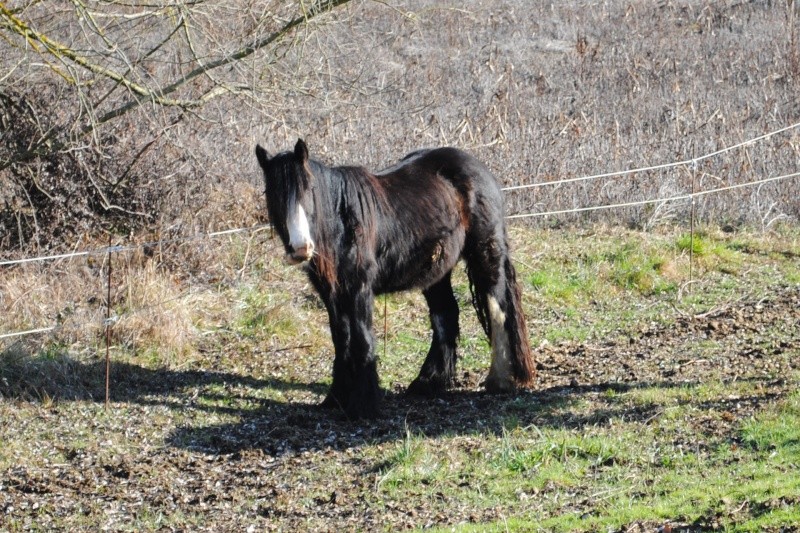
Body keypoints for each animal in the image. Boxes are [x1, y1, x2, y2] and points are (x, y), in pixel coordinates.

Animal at [253, 139, 536, 418]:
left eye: (310, 189)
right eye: (274, 193)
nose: (301, 248)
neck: (341, 222)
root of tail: (480, 169)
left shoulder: (359, 289)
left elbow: (362, 340)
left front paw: (363, 406)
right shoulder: (331, 293)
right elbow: (341, 339)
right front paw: (336, 398)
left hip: (485, 253)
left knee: (498, 308)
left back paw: (498, 381)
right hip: (436, 271)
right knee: (445, 315)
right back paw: (427, 383)